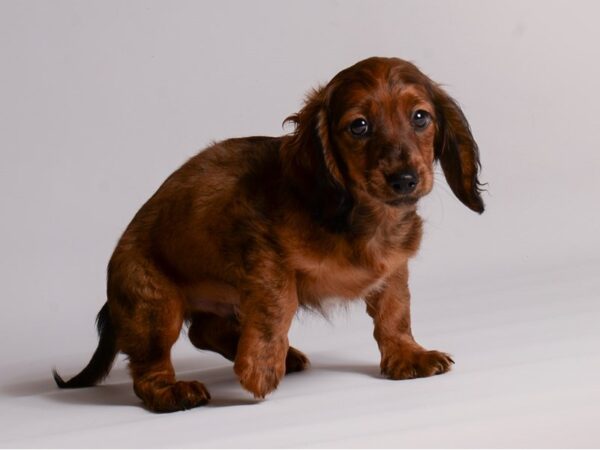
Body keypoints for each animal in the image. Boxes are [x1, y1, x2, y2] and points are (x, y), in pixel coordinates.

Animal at [54, 58, 486, 414]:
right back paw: (175, 391)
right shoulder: (264, 255)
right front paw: (259, 368)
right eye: (359, 125)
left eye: (420, 117)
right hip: (155, 306)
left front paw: (408, 356)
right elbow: (279, 305)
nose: (405, 180)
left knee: (203, 330)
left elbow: (395, 312)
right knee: (149, 368)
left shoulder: (394, 268)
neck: (360, 216)